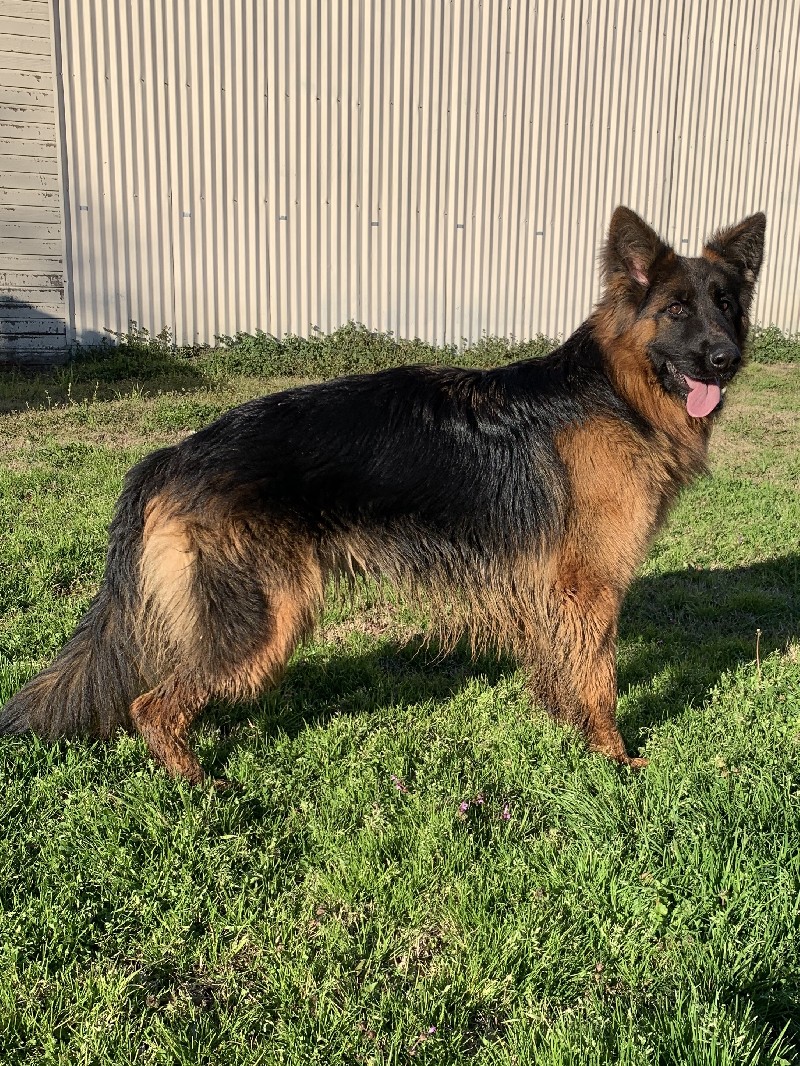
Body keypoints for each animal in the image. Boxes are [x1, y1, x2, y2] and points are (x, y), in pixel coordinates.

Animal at [0, 205, 768, 784]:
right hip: (264, 624)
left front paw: (567, 730)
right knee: (152, 707)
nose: (726, 359)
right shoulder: (592, 587)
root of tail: (172, 454)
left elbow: (565, 674)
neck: (618, 390)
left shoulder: (560, 598)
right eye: (676, 309)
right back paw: (199, 785)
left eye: (727, 306)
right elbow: (602, 681)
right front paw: (613, 759)